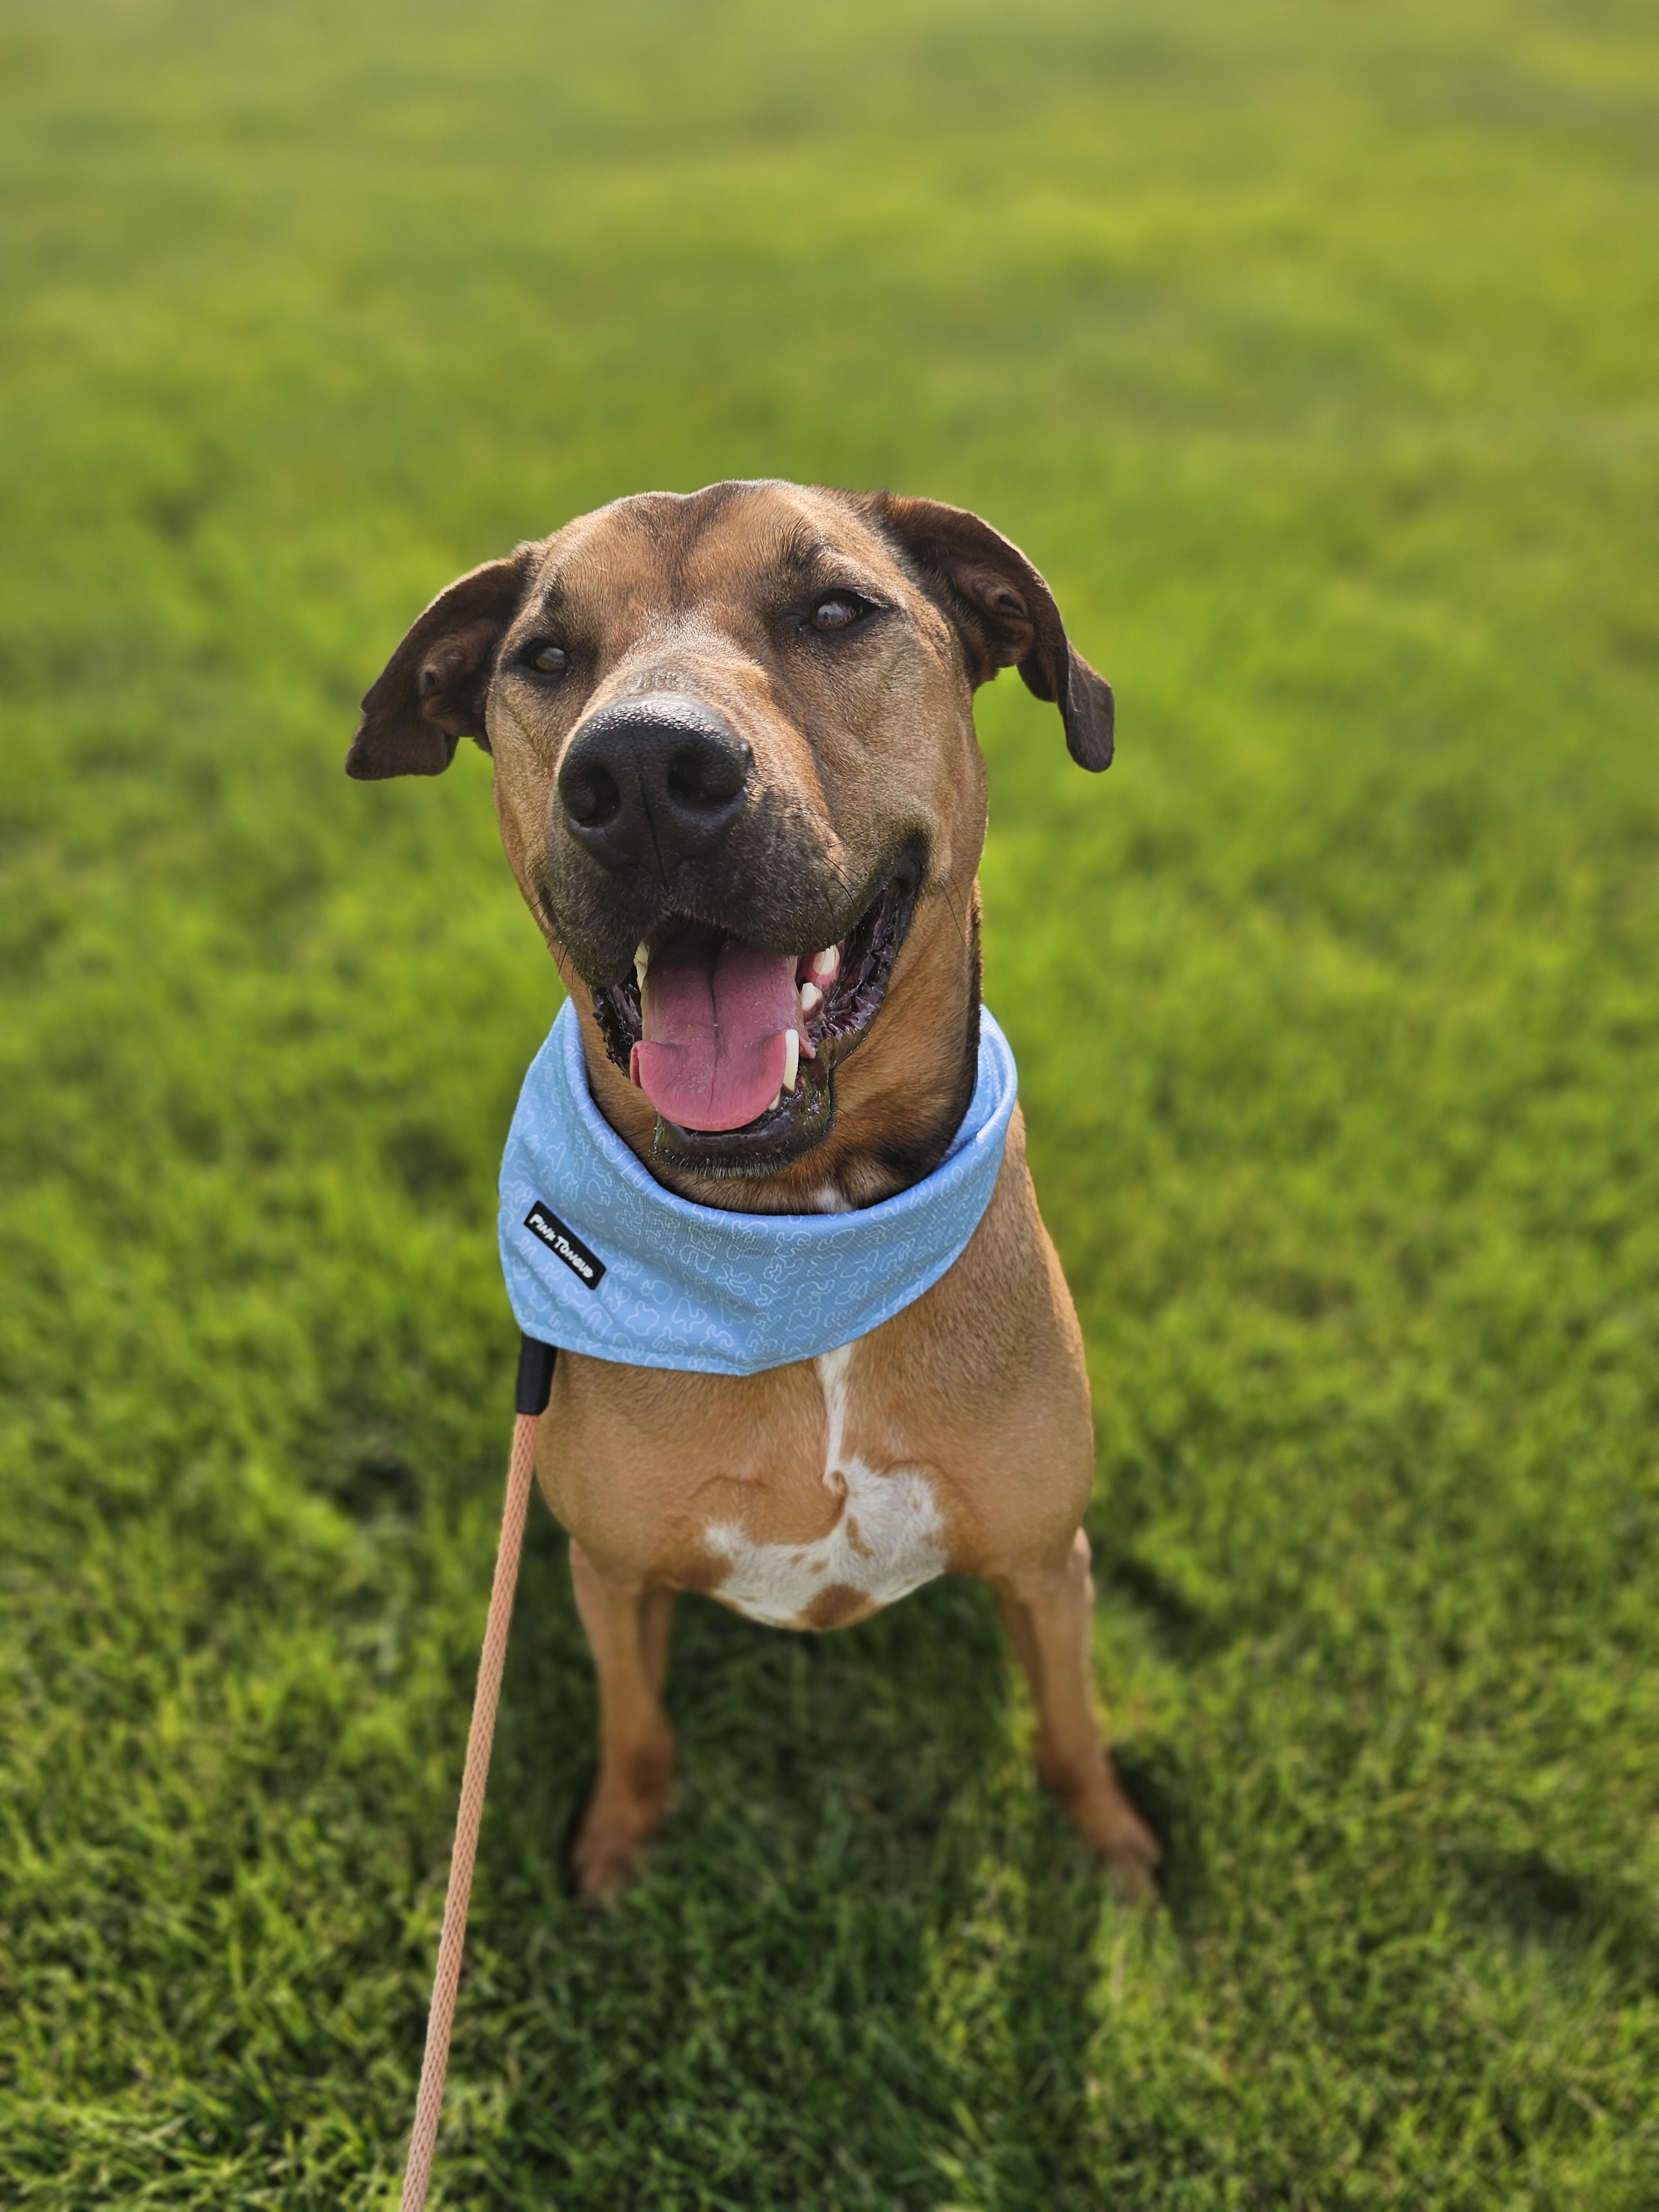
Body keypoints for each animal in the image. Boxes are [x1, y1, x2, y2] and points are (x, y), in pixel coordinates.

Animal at [349, 480, 1159, 1902]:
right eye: (544, 654)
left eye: (834, 609)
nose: (641, 775)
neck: (796, 1227)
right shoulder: (612, 1570)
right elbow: (634, 1717)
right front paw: (620, 1839)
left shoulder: (1042, 1560)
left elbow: (1068, 1721)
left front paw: (1111, 1842)